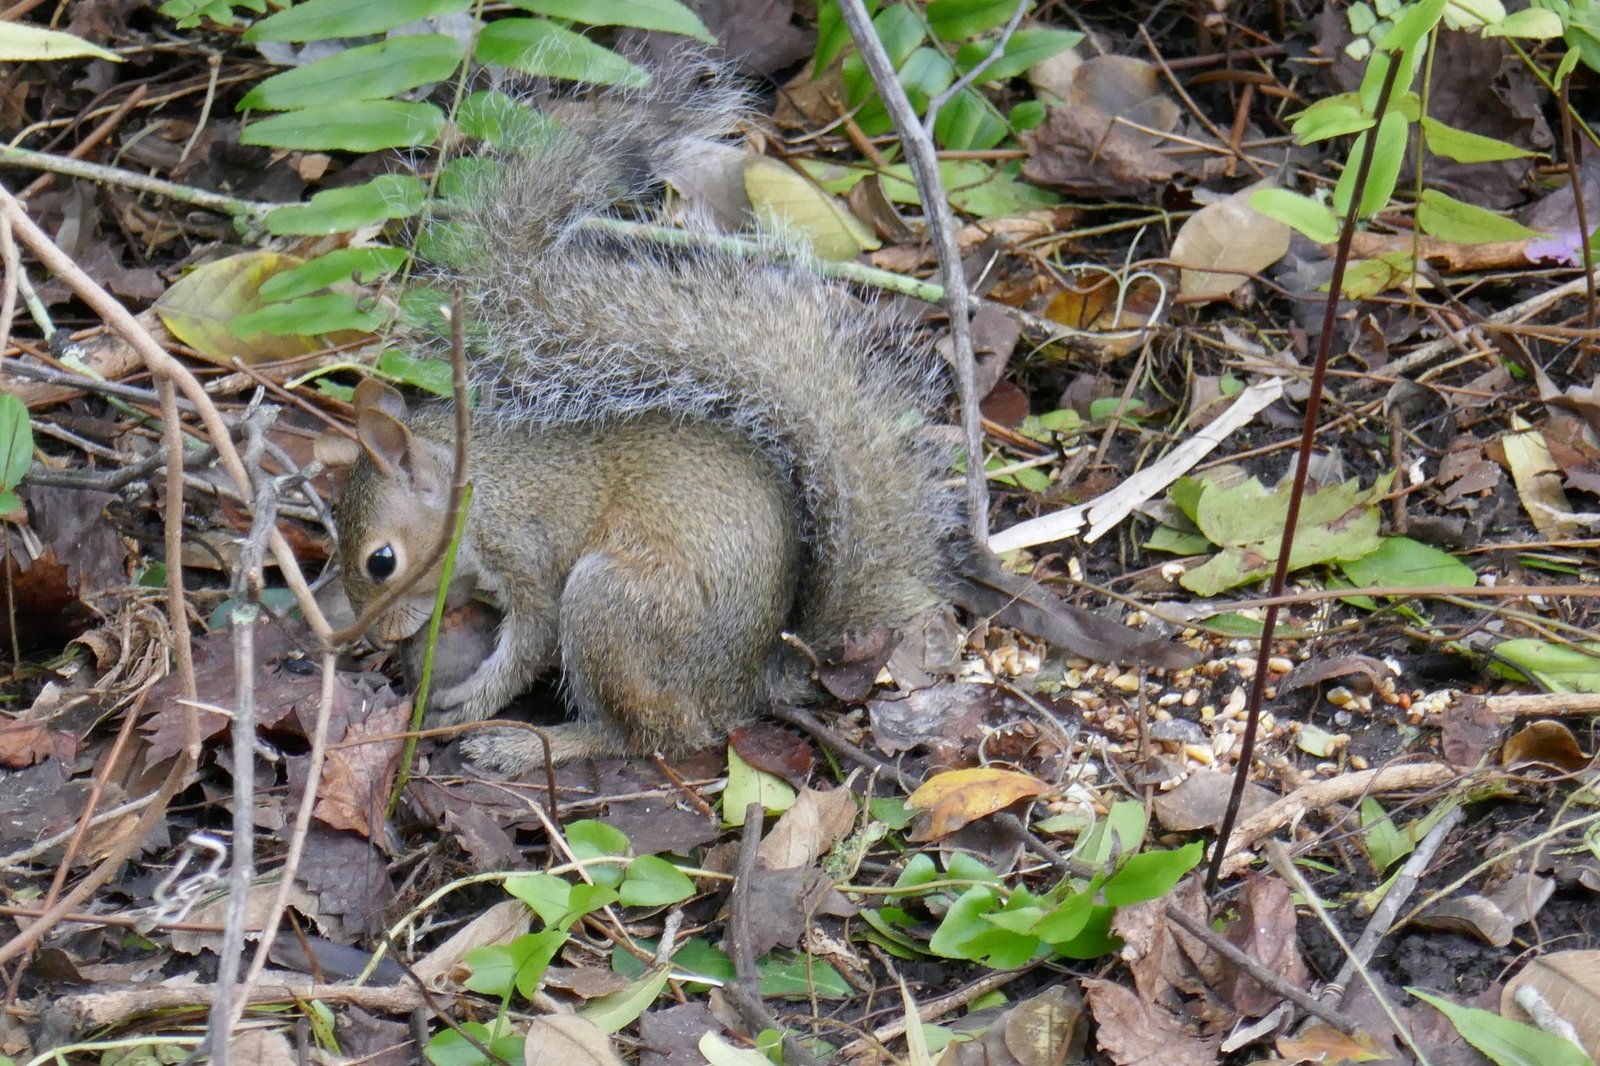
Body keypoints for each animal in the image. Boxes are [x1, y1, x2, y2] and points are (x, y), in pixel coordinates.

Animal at [333, 75, 964, 774]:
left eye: (381, 561)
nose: (370, 635)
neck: (477, 479)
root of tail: (748, 683)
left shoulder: (527, 551)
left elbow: (531, 640)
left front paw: (472, 701)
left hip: (614, 608)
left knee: (649, 736)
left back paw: (532, 745)